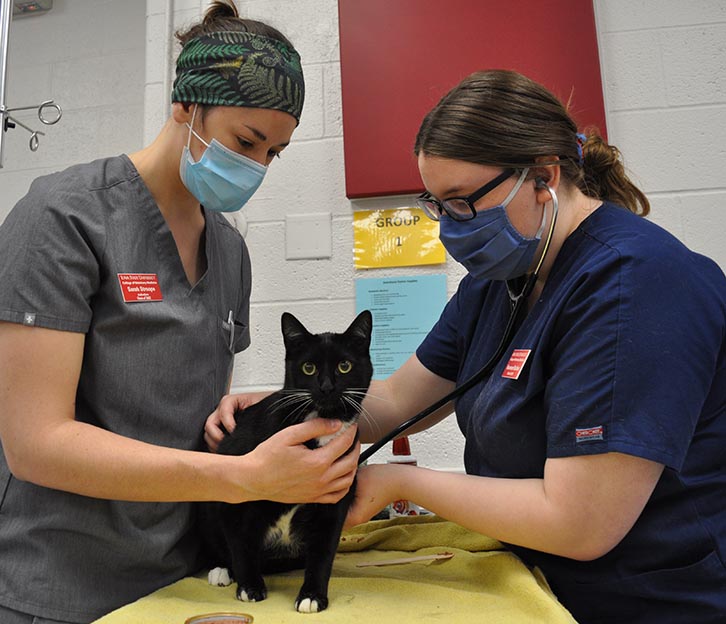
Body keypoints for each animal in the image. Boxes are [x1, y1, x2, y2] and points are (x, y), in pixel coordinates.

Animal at [202, 310, 376, 612]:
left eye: (344, 366)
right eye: (308, 368)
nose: (327, 387)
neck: (319, 426)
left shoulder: (336, 500)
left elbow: (323, 552)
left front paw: (312, 595)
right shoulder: (235, 489)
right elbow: (240, 543)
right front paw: (250, 586)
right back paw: (222, 570)